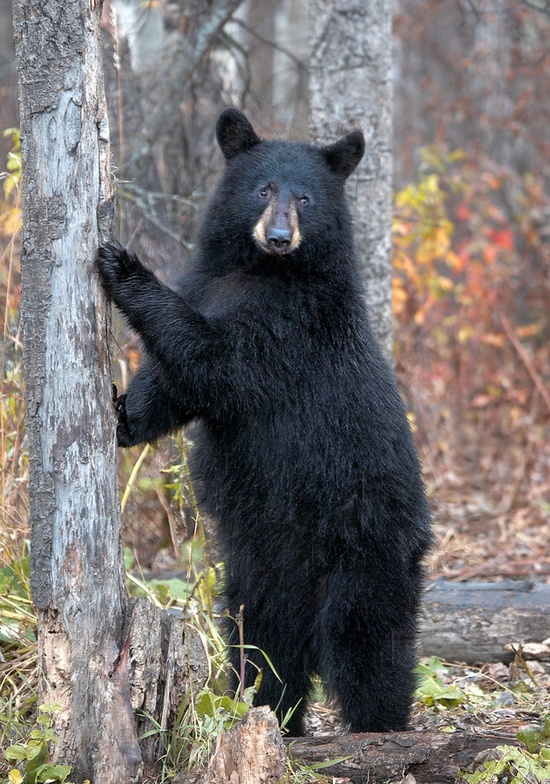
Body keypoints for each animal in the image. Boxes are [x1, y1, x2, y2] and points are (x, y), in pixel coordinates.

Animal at [96, 108, 436, 736]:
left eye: (305, 197)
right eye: (262, 189)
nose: (279, 237)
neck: (256, 271)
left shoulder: (290, 326)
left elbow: (213, 361)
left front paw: (124, 266)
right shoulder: (209, 284)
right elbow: (178, 387)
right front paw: (123, 415)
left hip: (365, 541)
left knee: (367, 636)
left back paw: (378, 722)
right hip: (263, 564)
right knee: (262, 636)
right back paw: (271, 711)